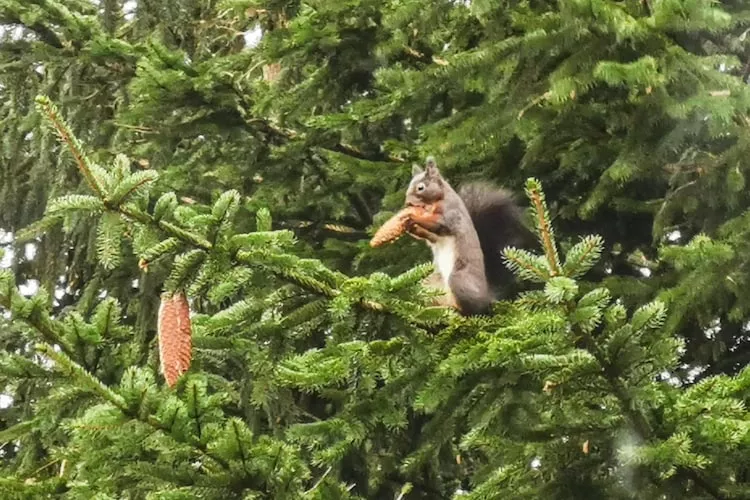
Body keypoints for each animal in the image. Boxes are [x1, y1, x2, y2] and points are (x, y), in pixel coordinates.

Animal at [402, 156, 532, 314]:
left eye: (421, 188)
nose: (407, 204)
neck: (437, 200)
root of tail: (487, 295)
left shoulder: (451, 214)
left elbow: (438, 224)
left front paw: (413, 218)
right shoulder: (434, 235)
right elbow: (430, 236)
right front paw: (410, 227)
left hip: (458, 279)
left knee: (475, 309)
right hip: (430, 284)